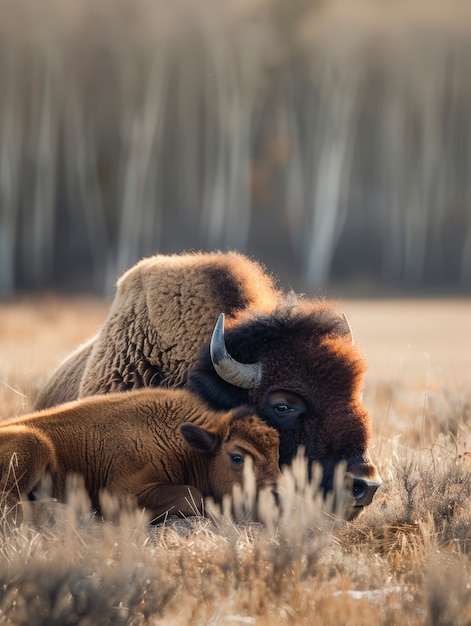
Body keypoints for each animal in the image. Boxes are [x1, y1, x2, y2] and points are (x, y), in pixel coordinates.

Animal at [0, 388, 280, 520]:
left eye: (277, 452)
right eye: (237, 457)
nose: (276, 495)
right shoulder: (121, 492)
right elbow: (192, 495)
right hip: (34, 443)